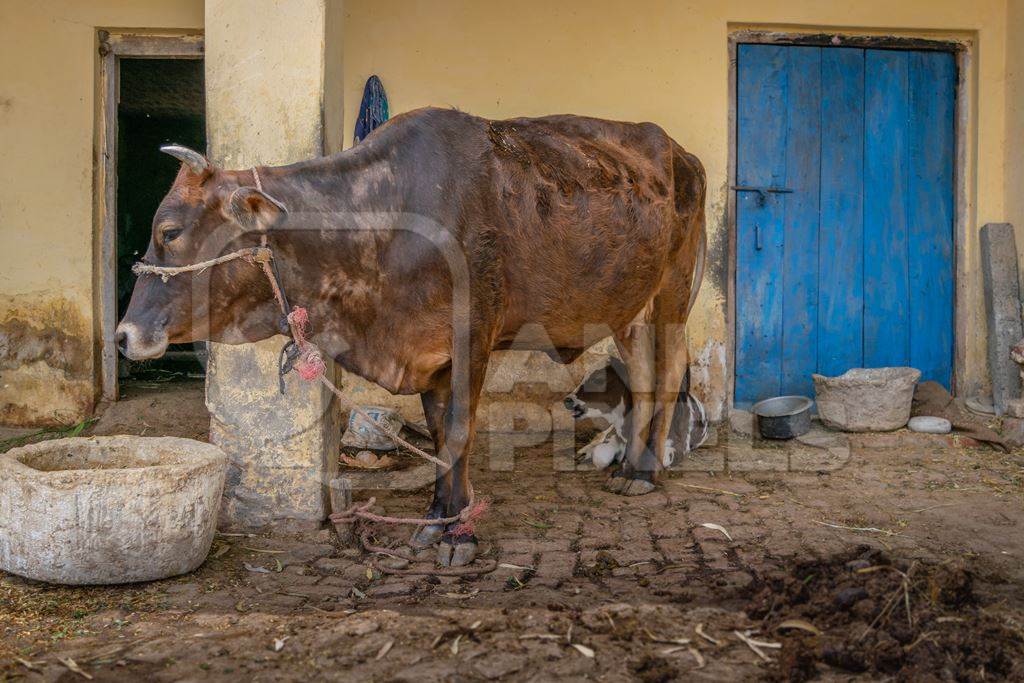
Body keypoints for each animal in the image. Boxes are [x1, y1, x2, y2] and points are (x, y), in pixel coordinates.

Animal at [114, 107, 704, 565]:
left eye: (169, 230)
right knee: (643, 376)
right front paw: (437, 520)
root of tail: (681, 152)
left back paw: (646, 472)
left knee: (671, 370)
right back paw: (628, 466)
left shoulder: (473, 338)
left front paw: (459, 534)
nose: (122, 336)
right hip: (629, 307)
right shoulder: (429, 356)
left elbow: (460, 434)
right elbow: (440, 437)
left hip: (672, 292)